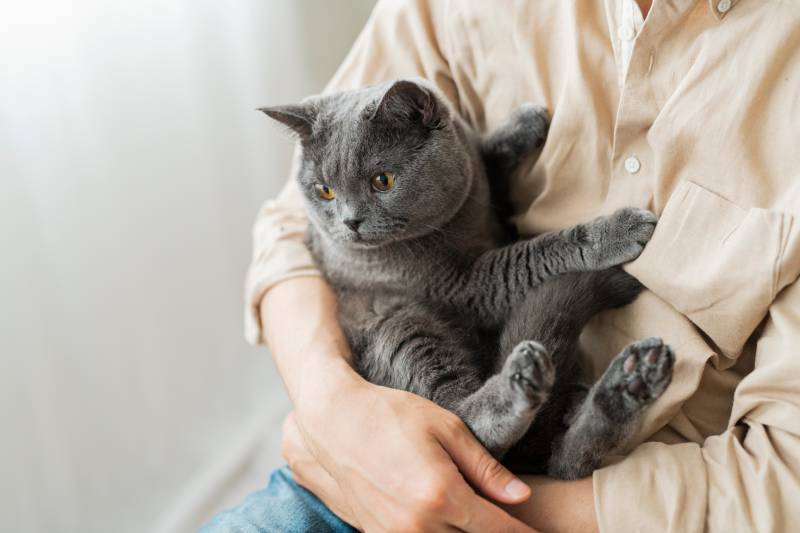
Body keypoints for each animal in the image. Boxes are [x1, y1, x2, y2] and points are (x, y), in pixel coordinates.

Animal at [262, 79, 676, 478]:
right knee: (464, 424)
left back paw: (629, 384)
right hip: (398, 324)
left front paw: (524, 122)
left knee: (564, 462)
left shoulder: (482, 188)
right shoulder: (465, 288)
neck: (464, 220)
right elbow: (531, 255)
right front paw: (616, 232)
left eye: (383, 180)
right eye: (325, 191)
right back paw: (523, 380)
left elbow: (484, 155)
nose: (350, 222)